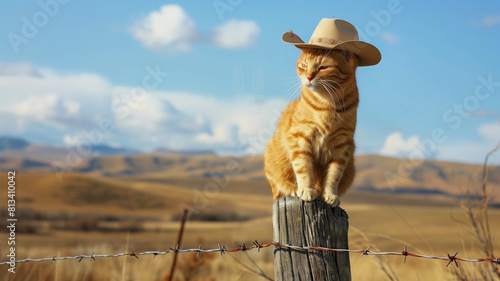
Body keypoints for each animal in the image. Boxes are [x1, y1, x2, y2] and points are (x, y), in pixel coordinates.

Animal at [264, 48, 358, 206]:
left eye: (323, 67)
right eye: (304, 65)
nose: (308, 77)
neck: (329, 104)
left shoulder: (343, 145)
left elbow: (334, 175)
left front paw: (329, 195)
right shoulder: (300, 138)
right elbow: (304, 168)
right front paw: (306, 189)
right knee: (280, 187)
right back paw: (293, 189)